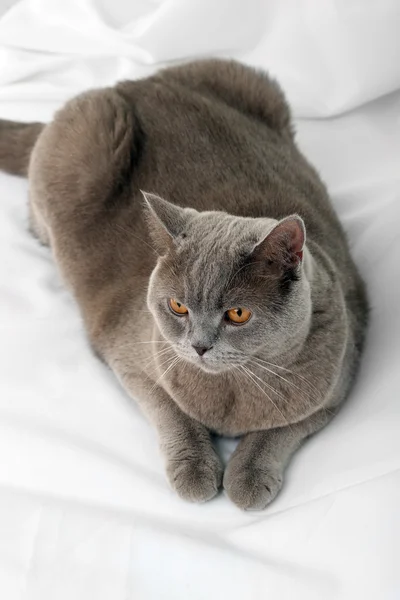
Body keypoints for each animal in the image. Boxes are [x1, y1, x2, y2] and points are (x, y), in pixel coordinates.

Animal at [0, 59, 368, 510]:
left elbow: (282, 428)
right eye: (177, 307)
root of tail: (139, 81)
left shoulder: (338, 381)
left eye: (237, 314)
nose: (199, 346)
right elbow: (171, 412)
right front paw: (195, 471)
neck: (232, 392)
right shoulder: (132, 359)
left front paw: (247, 477)